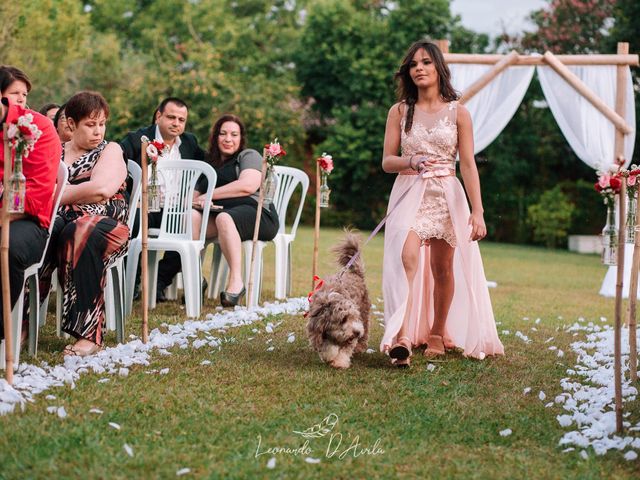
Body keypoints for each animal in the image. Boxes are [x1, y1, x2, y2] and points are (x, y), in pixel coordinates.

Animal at [304, 231, 370, 370]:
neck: (328, 300)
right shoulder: (316, 329)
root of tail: (356, 273)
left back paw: (360, 346)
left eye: (353, 317)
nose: (357, 332)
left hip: (364, 312)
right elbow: (327, 347)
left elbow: (345, 350)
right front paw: (330, 355)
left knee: (366, 330)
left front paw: (339, 362)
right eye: (343, 319)